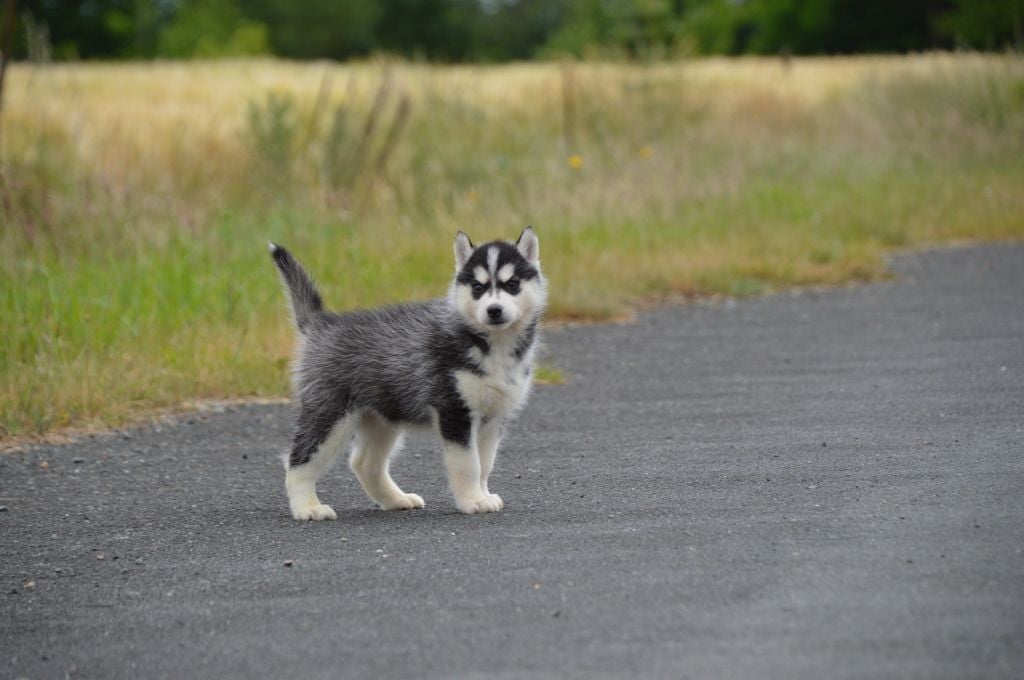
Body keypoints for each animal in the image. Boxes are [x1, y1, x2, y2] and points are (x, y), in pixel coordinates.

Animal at [268, 225, 548, 518]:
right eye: (478, 287)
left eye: (512, 284)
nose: (494, 310)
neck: (493, 344)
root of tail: (322, 322)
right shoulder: (454, 411)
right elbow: (469, 464)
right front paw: (473, 500)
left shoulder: (492, 418)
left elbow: (485, 464)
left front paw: (483, 495)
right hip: (330, 413)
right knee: (298, 460)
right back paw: (308, 507)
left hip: (382, 417)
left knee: (364, 463)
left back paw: (396, 499)